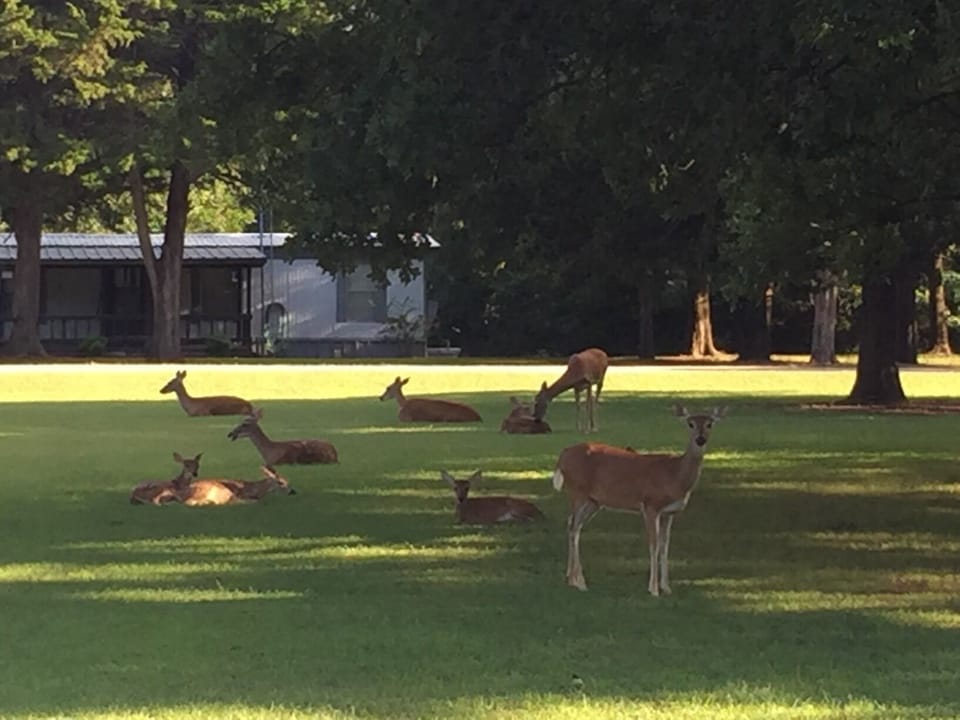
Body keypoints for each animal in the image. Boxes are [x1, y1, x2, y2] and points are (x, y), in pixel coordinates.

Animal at [553, 404, 727, 594]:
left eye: (710, 424)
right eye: (690, 423)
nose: (700, 439)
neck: (674, 475)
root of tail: (563, 455)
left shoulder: (670, 512)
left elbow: (665, 546)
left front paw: (666, 587)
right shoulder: (651, 505)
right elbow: (654, 544)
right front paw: (654, 589)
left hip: (593, 501)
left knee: (574, 526)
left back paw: (571, 579)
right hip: (577, 491)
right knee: (573, 527)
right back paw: (579, 582)